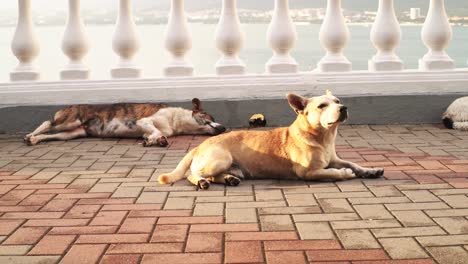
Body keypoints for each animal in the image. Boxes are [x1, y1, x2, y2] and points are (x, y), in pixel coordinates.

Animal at [157, 92, 384, 189]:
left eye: (337, 101)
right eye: (322, 106)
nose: (344, 107)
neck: (324, 139)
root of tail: (198, 147)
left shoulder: (335, 158)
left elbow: (353, 163)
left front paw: (370, 170)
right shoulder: (308, 172)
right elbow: (333, 173)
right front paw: (344, 174)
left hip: (231, 167)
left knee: (216, 175)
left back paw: (228, 179)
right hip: (220, 159)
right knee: (192, 174)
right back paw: (201, 181)